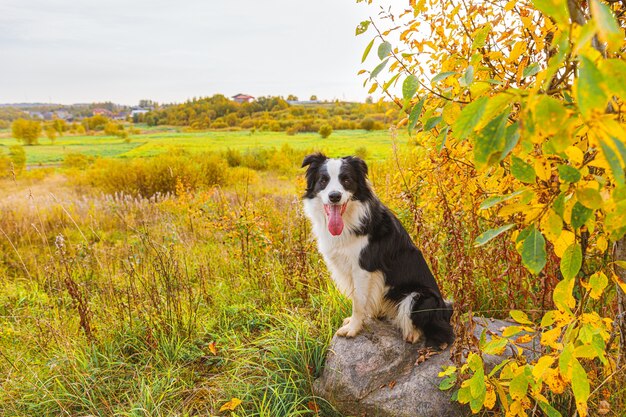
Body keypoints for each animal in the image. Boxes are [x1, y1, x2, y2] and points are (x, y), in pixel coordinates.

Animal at [300, 151, 450, 346]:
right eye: (323, 180)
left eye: (346, 180)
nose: (334, 196)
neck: (349, 219)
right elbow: (358, 299)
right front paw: (355, 321)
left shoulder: (363, 268)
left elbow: (358, 301)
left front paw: (353, 328)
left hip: (421, 297)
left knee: (439, 330)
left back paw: (413, 333)